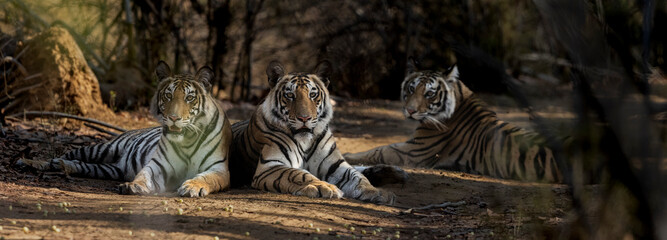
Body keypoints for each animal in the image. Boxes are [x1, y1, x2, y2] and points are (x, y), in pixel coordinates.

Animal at [19, 60, 234, 197]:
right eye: (168, 96)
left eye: (189, 97)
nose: (174, 118)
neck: (187, 140)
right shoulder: (159, 165)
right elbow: (144, 175)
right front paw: (134, 186)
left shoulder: (219, 169)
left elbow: (207, 178)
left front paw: (192, 187)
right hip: (100, 149)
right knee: (64, 155)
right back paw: (29, 162)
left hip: (108, 169)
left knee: (77, 163)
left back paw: (64, 167)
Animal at [230, 60, 396, 204]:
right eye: (290, 95)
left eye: (312, 94)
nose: (304, 118)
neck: (305, 141)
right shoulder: (269, 166)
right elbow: (298, 173)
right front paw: (323, 187)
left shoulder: (336, 165)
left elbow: (357, 176)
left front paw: (377, 192)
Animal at [344, 59, 564, 183]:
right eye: (411, 88)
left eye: (430, 93)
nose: (410, 110)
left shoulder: (414, 150)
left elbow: (377, 151)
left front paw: (348, 154)